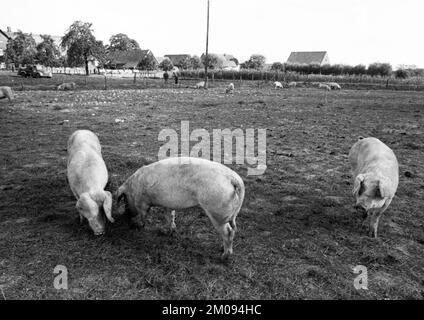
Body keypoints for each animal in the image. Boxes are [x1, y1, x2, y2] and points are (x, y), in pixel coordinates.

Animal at [116, 157, 245, 260]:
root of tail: (233, 179)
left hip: (217, 211)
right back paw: (221, 248)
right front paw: (169, 231)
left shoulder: (142, 202)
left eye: (125, 201)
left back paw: (223, 257)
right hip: (231, 213)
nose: (125, 215)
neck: (133, 189)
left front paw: (139, 226)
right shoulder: (167, 204)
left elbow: (143, 214)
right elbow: (170, 216)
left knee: (228, 231)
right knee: (233, 229)